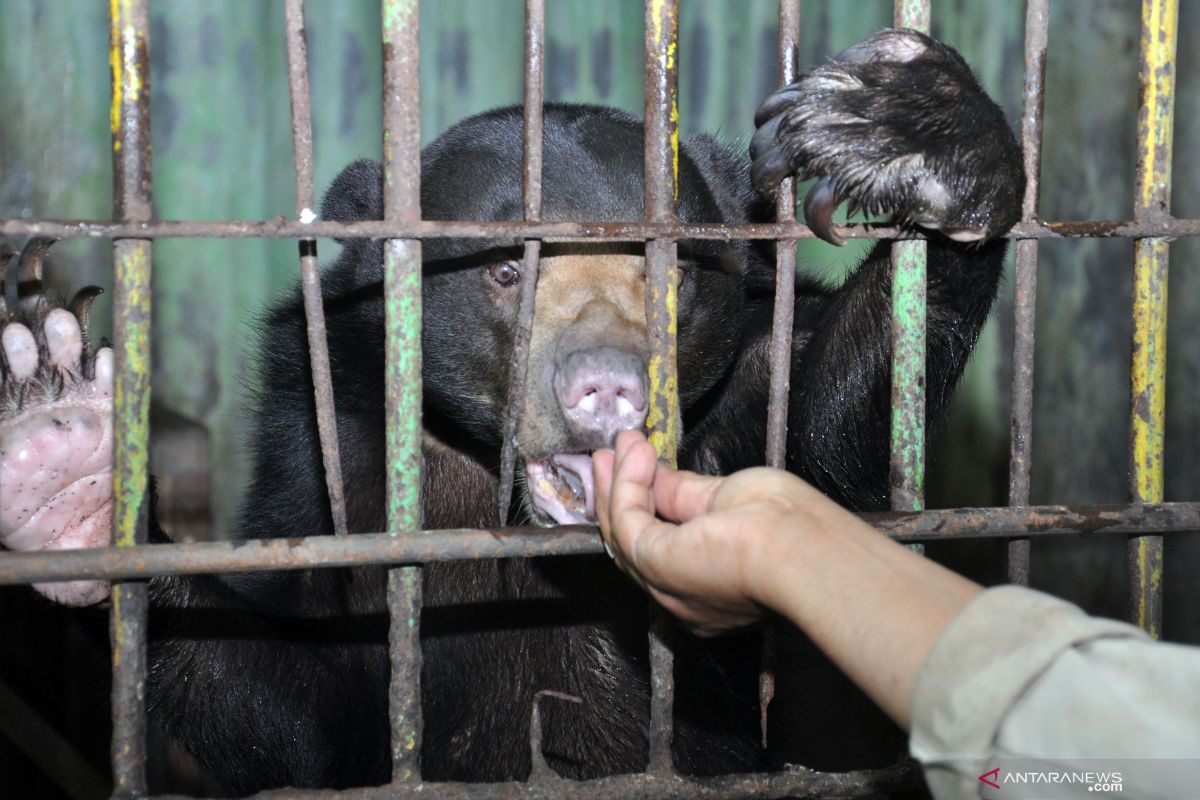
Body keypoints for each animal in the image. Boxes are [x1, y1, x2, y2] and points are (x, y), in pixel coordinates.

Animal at [0, 29, 1022, 796]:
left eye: (671, 273)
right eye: (502, 271)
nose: (608, 385)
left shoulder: (759, 382)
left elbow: (833, 428)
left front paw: (921, 134)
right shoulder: (328, 447)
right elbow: (292, 710)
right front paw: (68, 471)